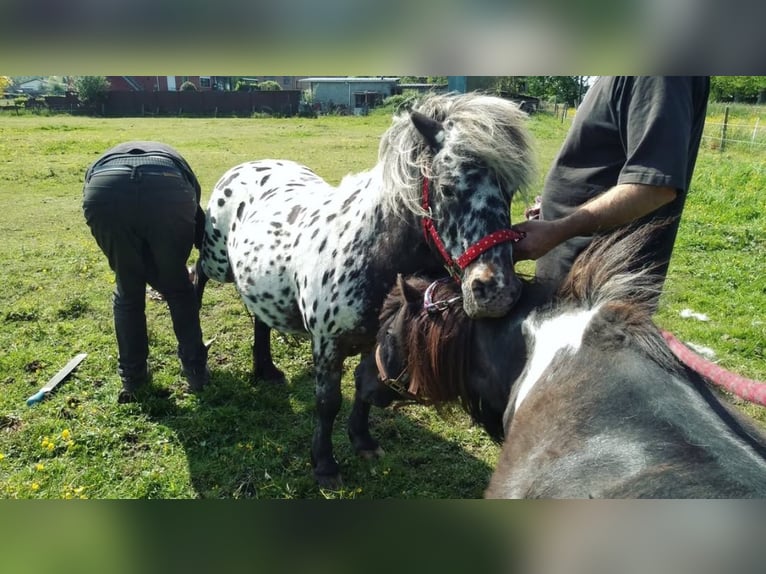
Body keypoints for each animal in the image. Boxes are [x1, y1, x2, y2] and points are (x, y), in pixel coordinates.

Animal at [194, 92, 536, 487]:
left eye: (508, 192)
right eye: (448, 188)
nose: (497, 292)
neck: (370, 251)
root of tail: (245, 167)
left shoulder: (375, 337)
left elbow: (363, 386)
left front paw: (362, 440)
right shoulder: (327, 344)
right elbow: (327, 402)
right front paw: (325, 465)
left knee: (260, 317)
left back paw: (266, 369)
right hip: (218, 262)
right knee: (196, 273)